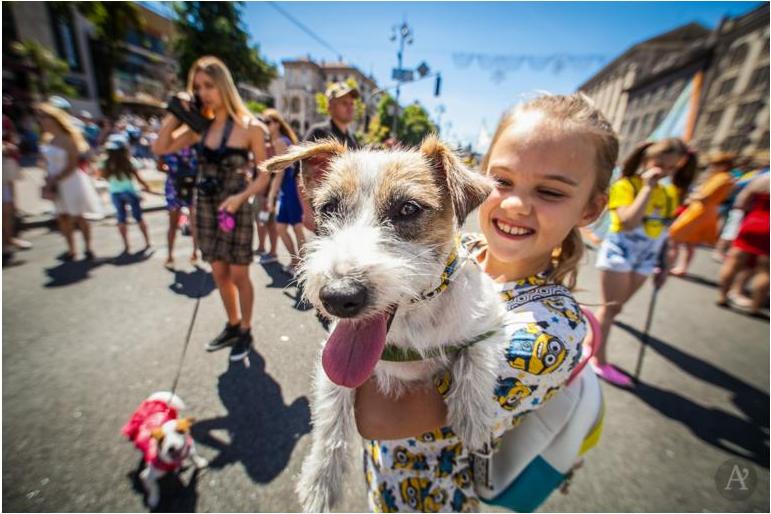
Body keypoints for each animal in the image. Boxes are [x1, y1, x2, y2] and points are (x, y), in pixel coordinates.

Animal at [262, 135, 510, 508]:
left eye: (408, 209)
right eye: (329, 208)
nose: (338, 297)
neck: (413, 319)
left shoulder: (493, 315)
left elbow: (477, 352)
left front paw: (473, 416)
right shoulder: (332, 364)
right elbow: (331, 421)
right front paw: (321, 481)